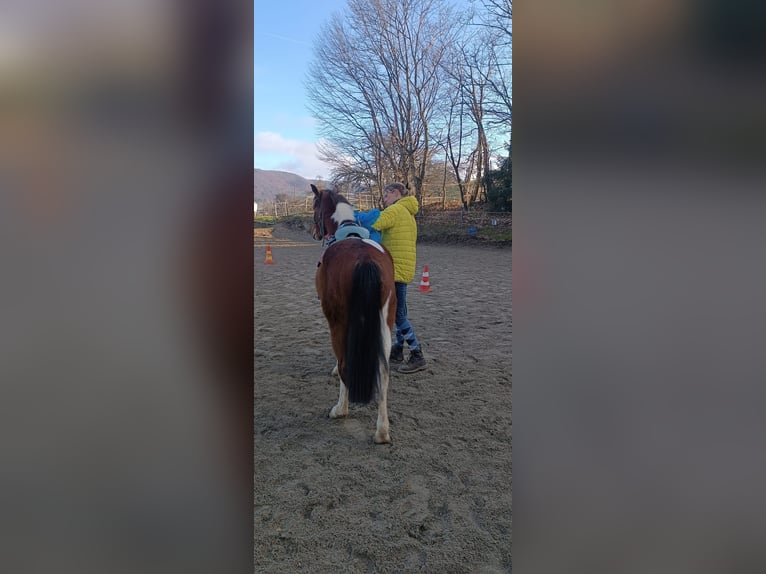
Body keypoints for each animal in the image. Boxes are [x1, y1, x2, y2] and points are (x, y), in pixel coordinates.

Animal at [310, 184, 396, 446]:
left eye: (314, 206)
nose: (314, 233)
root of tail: (365, 259)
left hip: (339, 321)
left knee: (345, 363)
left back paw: (340, 410)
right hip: (385, 323)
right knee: (383, 372)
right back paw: (382, 431)